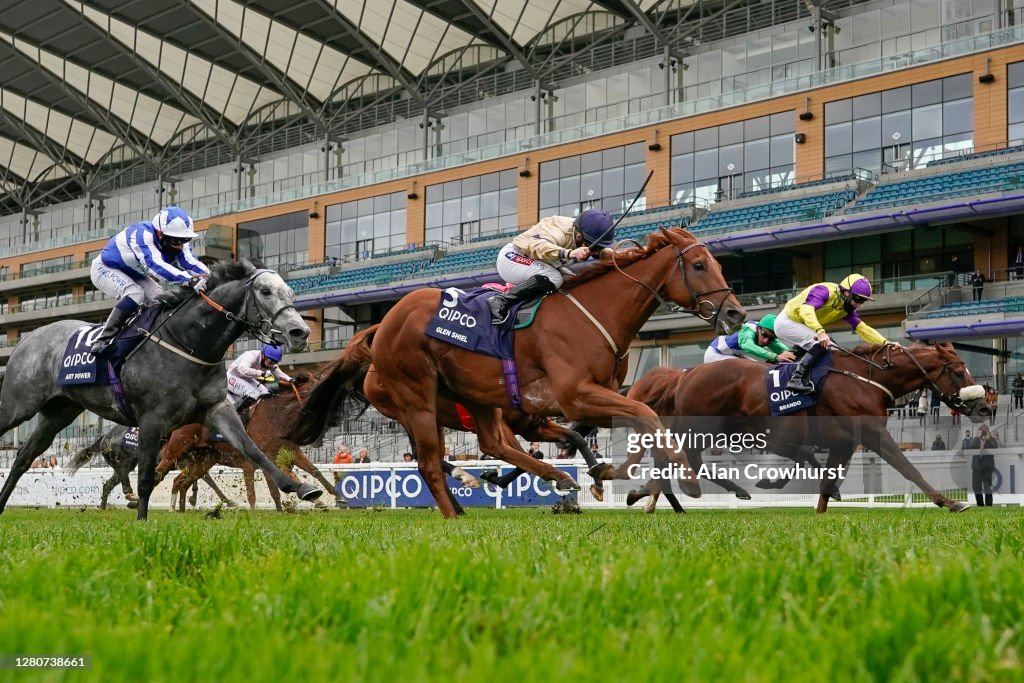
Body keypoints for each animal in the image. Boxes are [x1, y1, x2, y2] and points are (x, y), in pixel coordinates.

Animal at [0, 259, 319, 520]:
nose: (300, 333)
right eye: (265, 291)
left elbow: (253, 450)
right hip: (18, 406)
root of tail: (29, 338)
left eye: (289, 293)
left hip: (58, 413)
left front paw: (301, 487)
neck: (186, 343)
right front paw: (142, 521)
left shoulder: (216, 409)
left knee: (23, 458)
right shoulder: (153, 420)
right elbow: (146, 477)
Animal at [352, 229, 745, 518]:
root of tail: (384, 322)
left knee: (488, 445)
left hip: (474, 394)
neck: (596, 314)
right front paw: (685, 478)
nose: (736, 313)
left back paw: (546, 479)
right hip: (417, 399)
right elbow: (644, 416)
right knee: (429, 463)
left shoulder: (584, 401)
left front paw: (610, 476)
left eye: (717, 264)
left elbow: (623, 427)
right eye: (698, 265)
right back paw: (456, 510)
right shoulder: (574, 396)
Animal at [622, 342, 991, 511]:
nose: (985, 406)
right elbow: (906, 466)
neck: (866, 379)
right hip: (703, 428)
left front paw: (820, 511)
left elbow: (827, 480)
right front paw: (949, 502)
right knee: (680, 460)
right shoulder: (873, 434)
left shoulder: (843, 442)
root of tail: (683, 374)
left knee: (681, 461)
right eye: (958, 371)